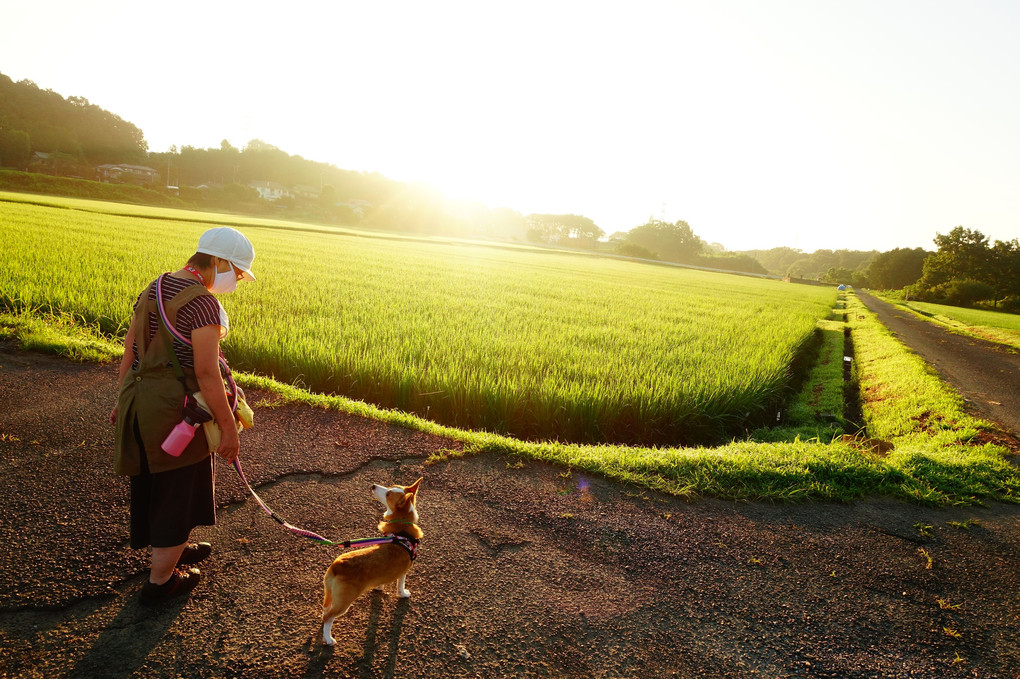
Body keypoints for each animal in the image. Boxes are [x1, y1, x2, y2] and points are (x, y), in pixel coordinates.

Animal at [324, 475, 424, 644]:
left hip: (330, 595)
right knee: (328, 617)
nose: (372, 486)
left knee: (325, 610)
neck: (402, 530)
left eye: (389, 493)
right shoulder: (404, 571)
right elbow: (400, 585)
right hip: (344, 602)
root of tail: (337, 565)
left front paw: (379, 587)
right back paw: (328, 639)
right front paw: (403, 593)